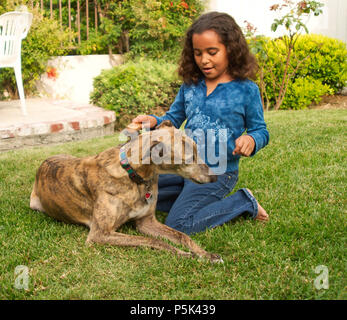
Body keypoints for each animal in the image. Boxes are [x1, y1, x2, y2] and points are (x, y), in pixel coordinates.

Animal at [31, 120, 224, 262]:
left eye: (199, 150)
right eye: (190, 158)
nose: (215, 178)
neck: (135, 176)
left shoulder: (146, 221)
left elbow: (183, 236)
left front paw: (206, 254)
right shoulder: (100, 234)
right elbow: (154, 241)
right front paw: (183, 254)